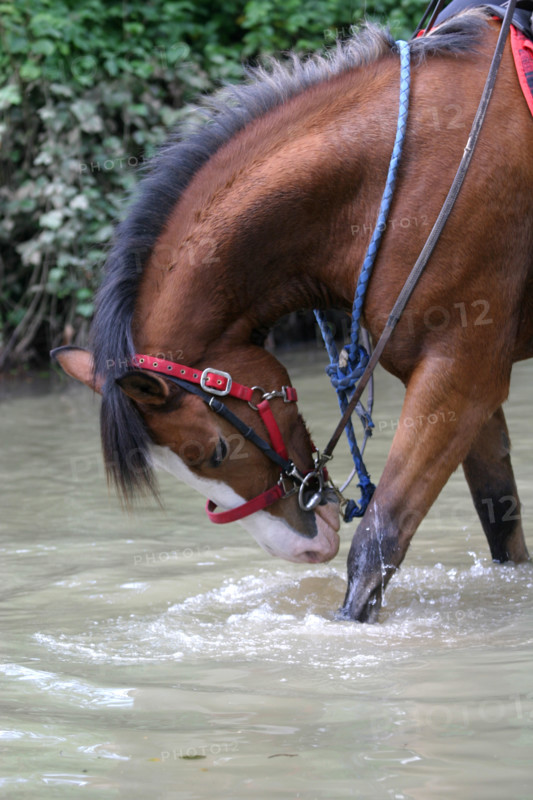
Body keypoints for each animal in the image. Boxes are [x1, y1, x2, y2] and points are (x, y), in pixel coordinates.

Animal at [53, 8, 533, 622]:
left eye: (216, 450)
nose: (301, 550)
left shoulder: (460, 374)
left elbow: (377, 544)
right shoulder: (466, 384)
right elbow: (501, 523)